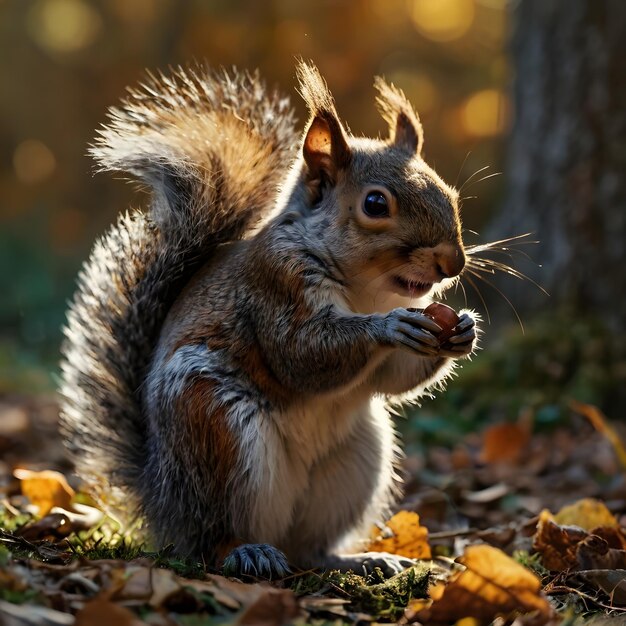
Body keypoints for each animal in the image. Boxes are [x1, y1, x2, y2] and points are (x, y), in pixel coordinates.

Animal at [61, 61, 476, 576]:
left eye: (449, 193)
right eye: (376, 204)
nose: (453, 263)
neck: (370, 291)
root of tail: (160, 501)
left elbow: (394, 378)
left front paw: (463, 330)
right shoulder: (276, 284)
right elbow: (301, 354)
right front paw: (388, 328)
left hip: (357, 460)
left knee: (308, 546)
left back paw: (355, 560)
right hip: (214, 427)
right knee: (211, 536)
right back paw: (245, 550)